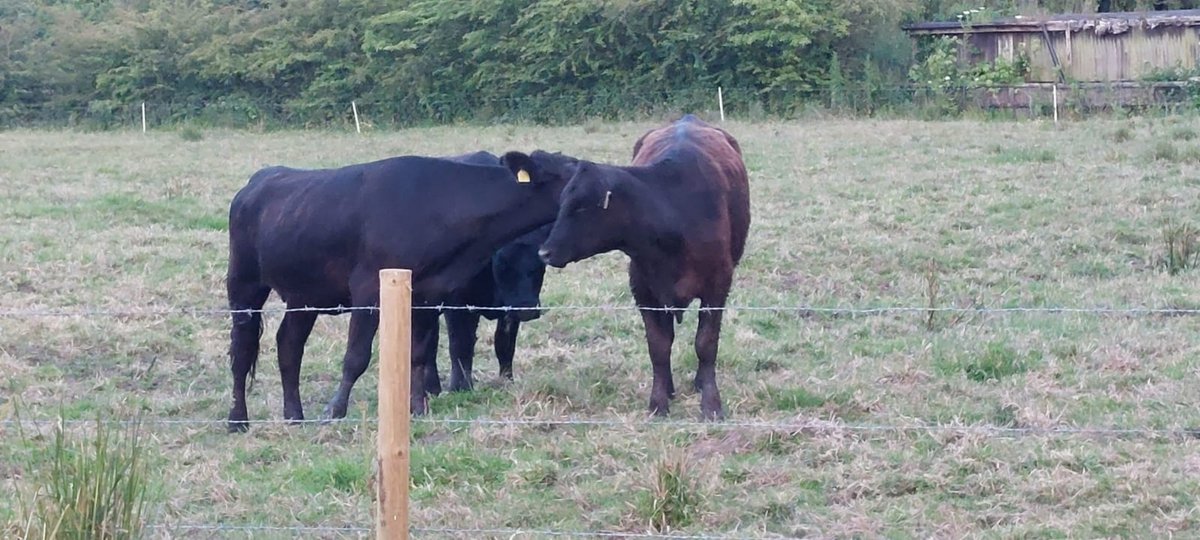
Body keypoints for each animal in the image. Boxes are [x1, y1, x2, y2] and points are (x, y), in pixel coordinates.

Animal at [224, 151, 565, 432]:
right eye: (567, 174)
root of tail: (257, 181)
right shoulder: (368, 292)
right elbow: (357, 357)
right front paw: (335, 410)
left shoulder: (428, 296)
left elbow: (418, 354)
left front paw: (418, 408)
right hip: (244, 285)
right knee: (242, 349)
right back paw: (238, 420)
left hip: (304, 296)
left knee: (289, 346)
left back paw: (294, 415)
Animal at [531, 114, 750, 420]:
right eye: (562, 203)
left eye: (582, 208)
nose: (544, 252)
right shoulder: (644, 291)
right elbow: (658, 346)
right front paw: (658, 402)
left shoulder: (717, 286)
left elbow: (705, 344)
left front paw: (711, 404)